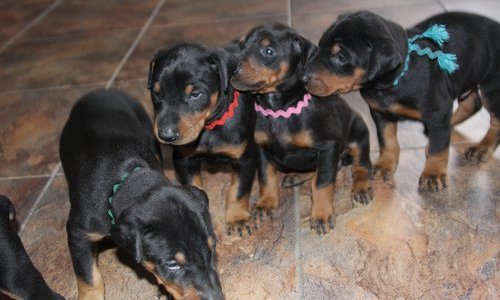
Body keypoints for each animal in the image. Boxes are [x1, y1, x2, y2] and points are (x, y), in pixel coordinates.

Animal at [59, 89, 223, 300]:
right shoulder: (79, 232)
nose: (216, 298)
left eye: (212, 248)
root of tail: (103, 91)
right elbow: (88, 276)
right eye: (172, 264)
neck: (124, 180)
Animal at [146, 44, 258, 237]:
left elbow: (238, 190)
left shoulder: (245, 158)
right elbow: (194, 186)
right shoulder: (183, 160)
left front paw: (238, 220)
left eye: (196, 94)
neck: (210, 128)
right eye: (156, 92)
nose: (166, 135)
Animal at [230, 23, 372, 234]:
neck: (280, 111)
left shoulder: (328, 146)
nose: (233, 69)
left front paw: (321, 215)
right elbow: (266, 178)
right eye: (241, 46)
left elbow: (322, 183)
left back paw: (361, 187)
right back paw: (295, 175)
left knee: (360, 164)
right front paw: (266, 204)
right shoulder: (261, 149)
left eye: (269, 51)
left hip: (358, 133)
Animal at [302, 10, 500, 191]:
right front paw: (385, 165)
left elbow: (437, 148)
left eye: (341, 57)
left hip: (491, 86)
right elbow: (387, 140)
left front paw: (433, 174)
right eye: (320, 45)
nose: (303, 78)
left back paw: (482, 148)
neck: (396, 79)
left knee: (493, 120)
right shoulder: (380, 112)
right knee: (472, 103)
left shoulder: (438, 111)